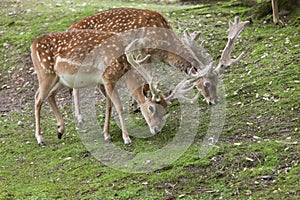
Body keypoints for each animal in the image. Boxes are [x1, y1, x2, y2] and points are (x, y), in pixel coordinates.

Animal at [68, 7, 248, 122]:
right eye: (206, 83)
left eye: (217, 82)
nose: (214, 101)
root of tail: (69, 28)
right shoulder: (142, 53)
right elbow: (147, 81)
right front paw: (138, 104)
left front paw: (136, 103)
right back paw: (79, 117)